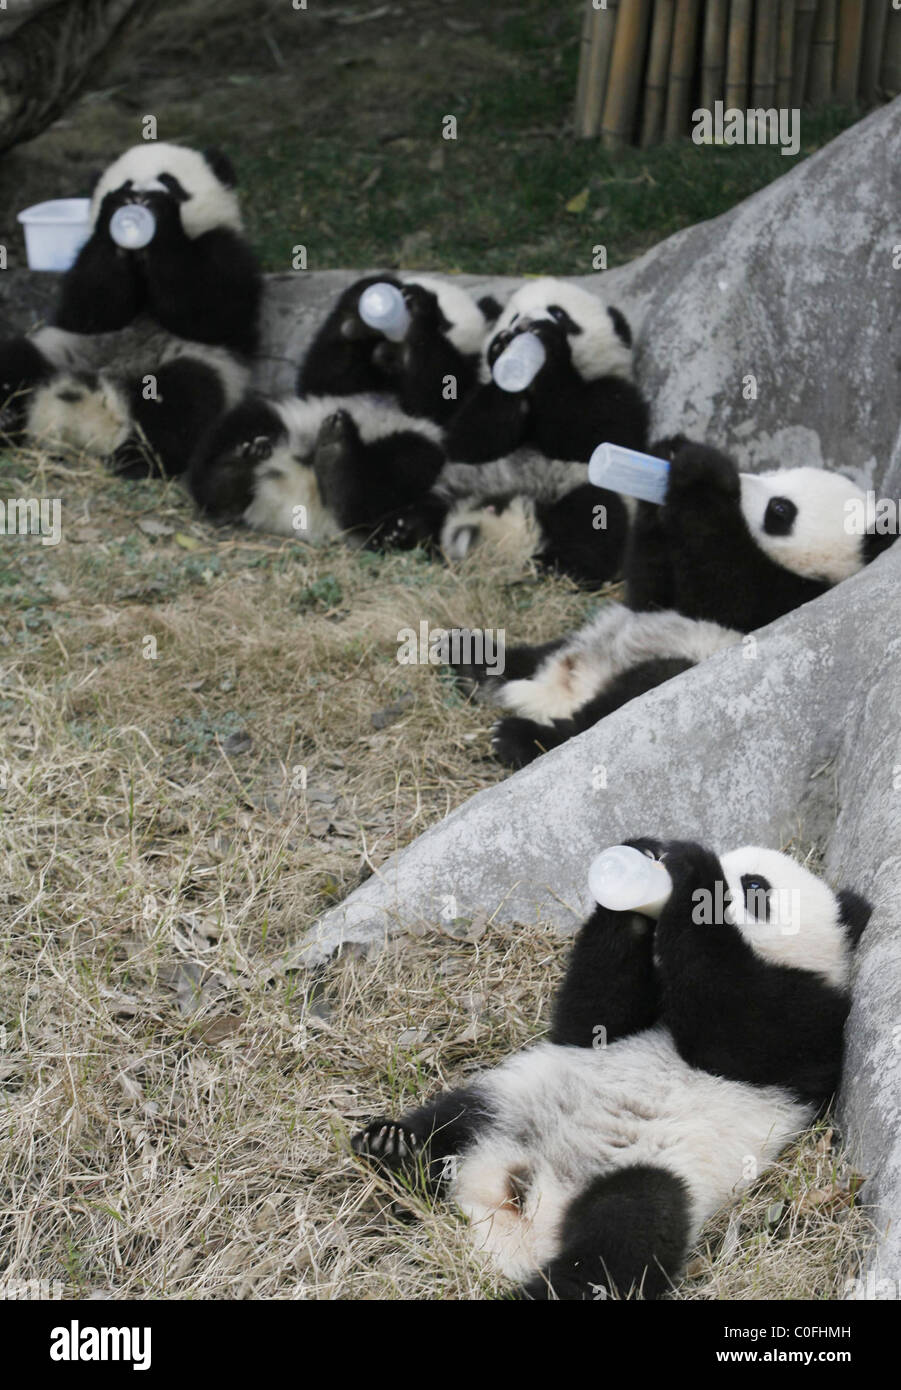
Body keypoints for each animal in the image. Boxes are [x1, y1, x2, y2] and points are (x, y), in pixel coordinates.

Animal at [0, 142, 261, 477]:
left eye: (169, 181)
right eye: (126, 184)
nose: (139, 198)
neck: (141, 258)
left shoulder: (226, 251)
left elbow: (210, 311)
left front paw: (161, 217)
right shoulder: (86, 270)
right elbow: (89, 308)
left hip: (207, 365)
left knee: (184, 397)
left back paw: (136, 457)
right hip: (57, 349)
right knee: (17, 359)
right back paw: (8, 419)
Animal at [351, 837, 870, 1300]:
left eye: (756, 885)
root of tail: (512, 1216)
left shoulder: (815, 1023)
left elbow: (737, 1029)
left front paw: (692, 872)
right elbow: (592, 1018)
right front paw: (637, 869)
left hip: (656, 1173)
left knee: (628, 1233)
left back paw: (547, 1289)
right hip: (513, 1099)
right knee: (455, 1119)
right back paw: (393, 1148)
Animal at [456, 438, 896, 767]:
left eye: (781, 508)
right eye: (774, 474)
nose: (742, 480)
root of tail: (560, 688)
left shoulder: (785, 599)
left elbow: (723, 578)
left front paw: (699, 469)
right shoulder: (659, 599)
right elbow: (653, 589)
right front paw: (666, 458)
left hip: (678, 666)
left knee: (613, 709)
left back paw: (520, 736)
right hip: (589, 636)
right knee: (535, 656)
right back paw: (473, 656)